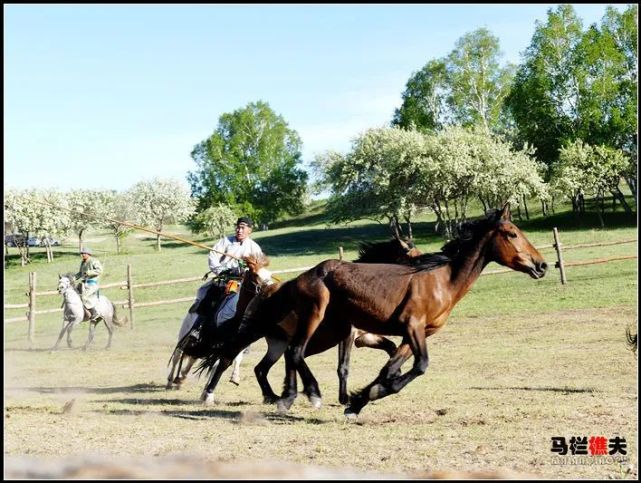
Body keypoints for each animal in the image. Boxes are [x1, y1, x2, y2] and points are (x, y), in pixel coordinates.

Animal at [195, 203, 544, 416]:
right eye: (512, 233)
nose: (540, 265)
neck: (442, 279)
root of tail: (297, 279)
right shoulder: (411, 329)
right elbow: (419, 367)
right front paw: (360, 398)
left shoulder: (412, 335)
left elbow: (390, 369)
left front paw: (361, 399)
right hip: (311, 317)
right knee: (281, 354)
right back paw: (303, 395)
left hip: (299, 333)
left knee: (276, 361)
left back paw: (284, 397)